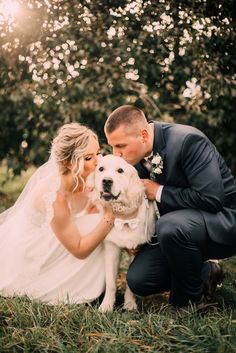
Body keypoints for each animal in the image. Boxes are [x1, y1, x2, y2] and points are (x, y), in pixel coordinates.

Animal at [87, 154, 158, 310]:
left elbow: (130, 282)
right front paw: (106, 305)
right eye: (101, 169)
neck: (124, 219)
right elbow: (110, 282)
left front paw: (130, 304)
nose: (107, 181)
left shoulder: (135, 249)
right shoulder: (111, 249)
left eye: (120, 170)